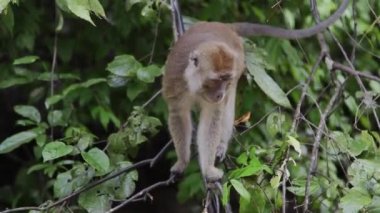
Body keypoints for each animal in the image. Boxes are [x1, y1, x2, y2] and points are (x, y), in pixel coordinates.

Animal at [162, 0, 348, 182]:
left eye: (226, 80)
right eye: (216, 80)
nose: (220, 93)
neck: (195, 85)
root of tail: (224, 27)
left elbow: (211, 121)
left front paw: (208, 170)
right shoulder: (174, 80)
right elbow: (179, 115)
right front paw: (182, 162)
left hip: (239, 62)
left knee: (227, 105)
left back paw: (221, 144)